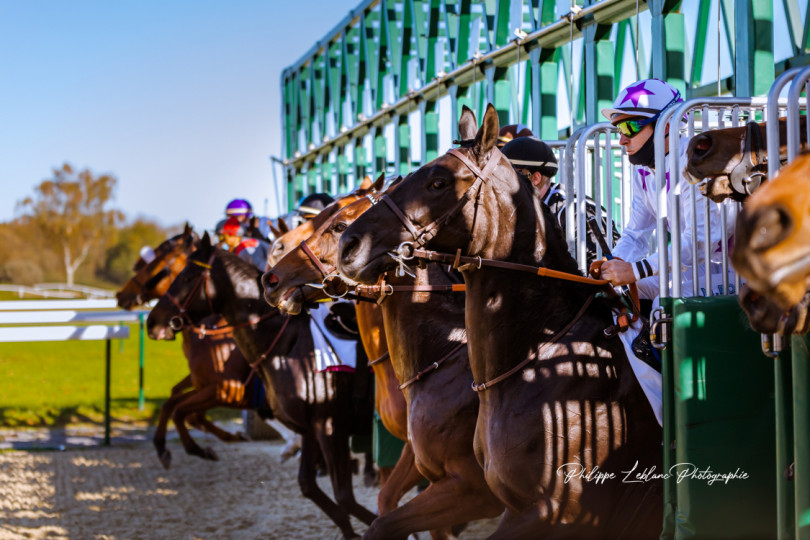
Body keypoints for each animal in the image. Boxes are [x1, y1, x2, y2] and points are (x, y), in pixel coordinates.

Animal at [115, 224, 272, 468]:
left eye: (154, 263)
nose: (121, 294)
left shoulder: (226, 390)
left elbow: (182, 411)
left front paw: (199, 447)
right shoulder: (202, 384)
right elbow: (172, 403)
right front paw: (163, 447)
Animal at [148, 234, 376, 536]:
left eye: (186, 276)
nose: (152, 322)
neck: (286, 345)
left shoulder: (330, 427)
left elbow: (345, 497)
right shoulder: (309, 430)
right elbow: (309, 487)